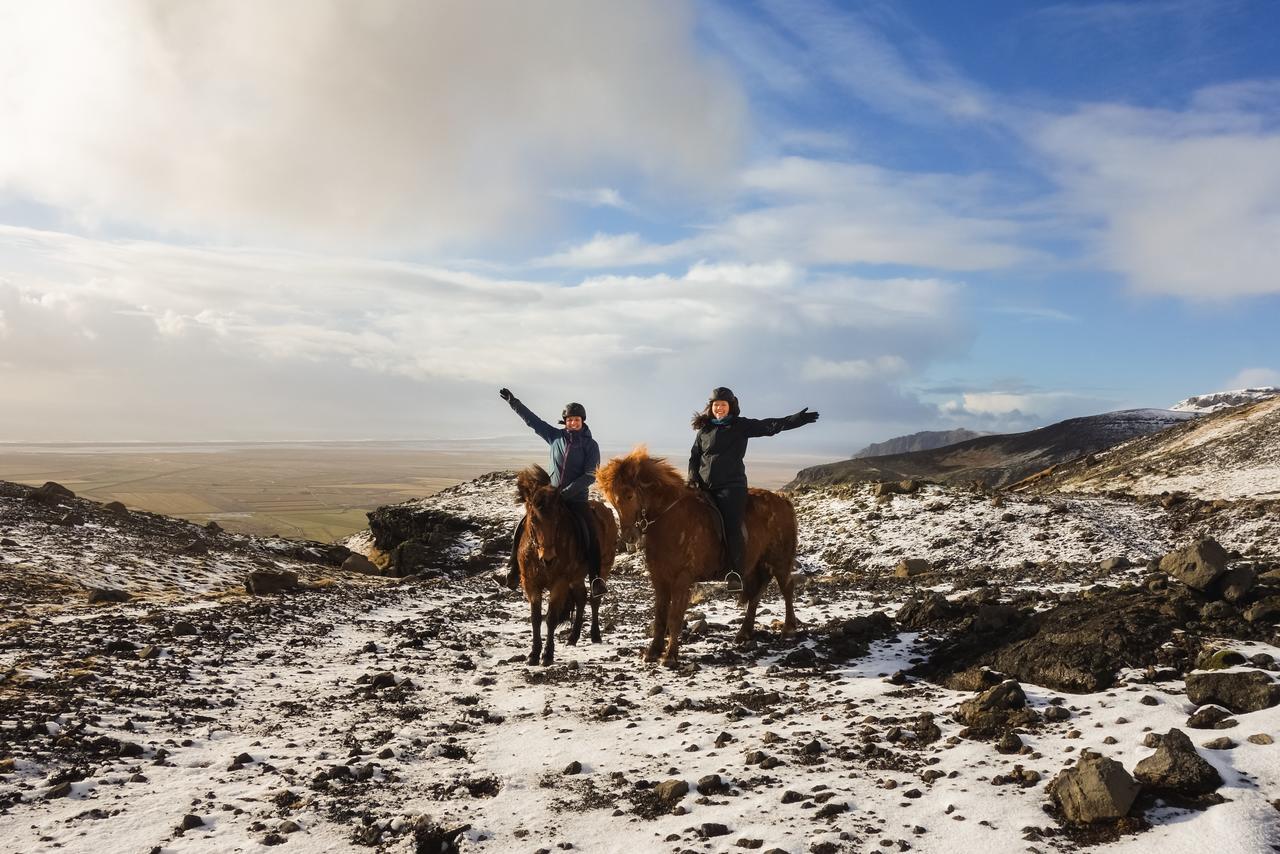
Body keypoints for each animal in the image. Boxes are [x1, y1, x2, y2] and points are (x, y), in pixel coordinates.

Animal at [512, 468, 616, 665]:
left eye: (557, 520)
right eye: (533, 520)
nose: (548, 559)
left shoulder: (559, 583)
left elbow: (551, 618)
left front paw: (547, 655)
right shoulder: (531, 584)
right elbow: (535, 619)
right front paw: (533, 654)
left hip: (603, 569)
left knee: (594, 599)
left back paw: (595, 635)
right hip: (576, 577)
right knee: (581, 597)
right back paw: (573, 637)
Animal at [593, 448, 793, 665]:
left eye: (629, 495)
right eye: (612, 500)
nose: (629, 536)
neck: (670, 518)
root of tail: (783, 501)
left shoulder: (682, 578)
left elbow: (675, 616)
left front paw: (670, 656)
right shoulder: (660, 579)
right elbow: (660, 615)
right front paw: (653, 651)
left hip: (780, 562)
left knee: (787, 589)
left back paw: (788, 630)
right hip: (756, 565)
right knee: (756, 594)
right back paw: (743, 634)